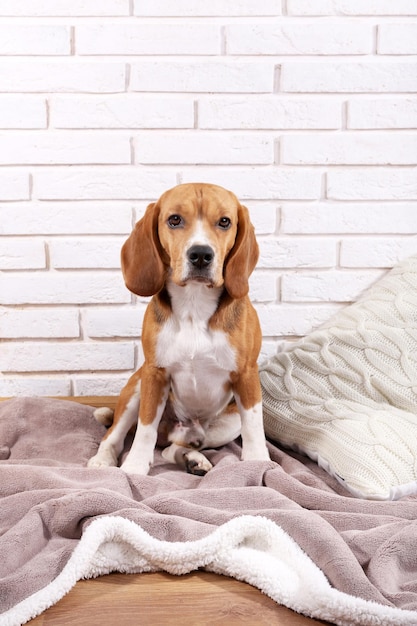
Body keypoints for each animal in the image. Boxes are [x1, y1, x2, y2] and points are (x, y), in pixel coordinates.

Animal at [88, 183, 270, 476]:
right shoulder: (154, 373)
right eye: (174, 219)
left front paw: (257, 463)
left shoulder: (246, 375)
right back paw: (103, 459)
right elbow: (145, 430)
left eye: (225, 221)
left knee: (173, 448)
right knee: (117, 436)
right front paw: (135, 467)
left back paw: (194, 459)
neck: (194, 302)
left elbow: (254, 427)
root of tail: (178, 429)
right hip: (136, 387)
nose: (201, 255)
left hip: (226, 425)